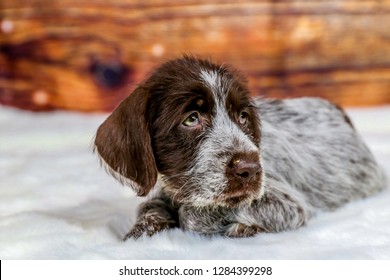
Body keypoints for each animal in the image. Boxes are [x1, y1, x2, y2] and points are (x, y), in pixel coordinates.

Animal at [93, 55, 386, 241]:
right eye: (191, 119)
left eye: (243, 117)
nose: (251, 169)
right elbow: (148, 206)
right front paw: (143, 230)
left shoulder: (291, 205)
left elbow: (193, 214)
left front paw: (238, 228)